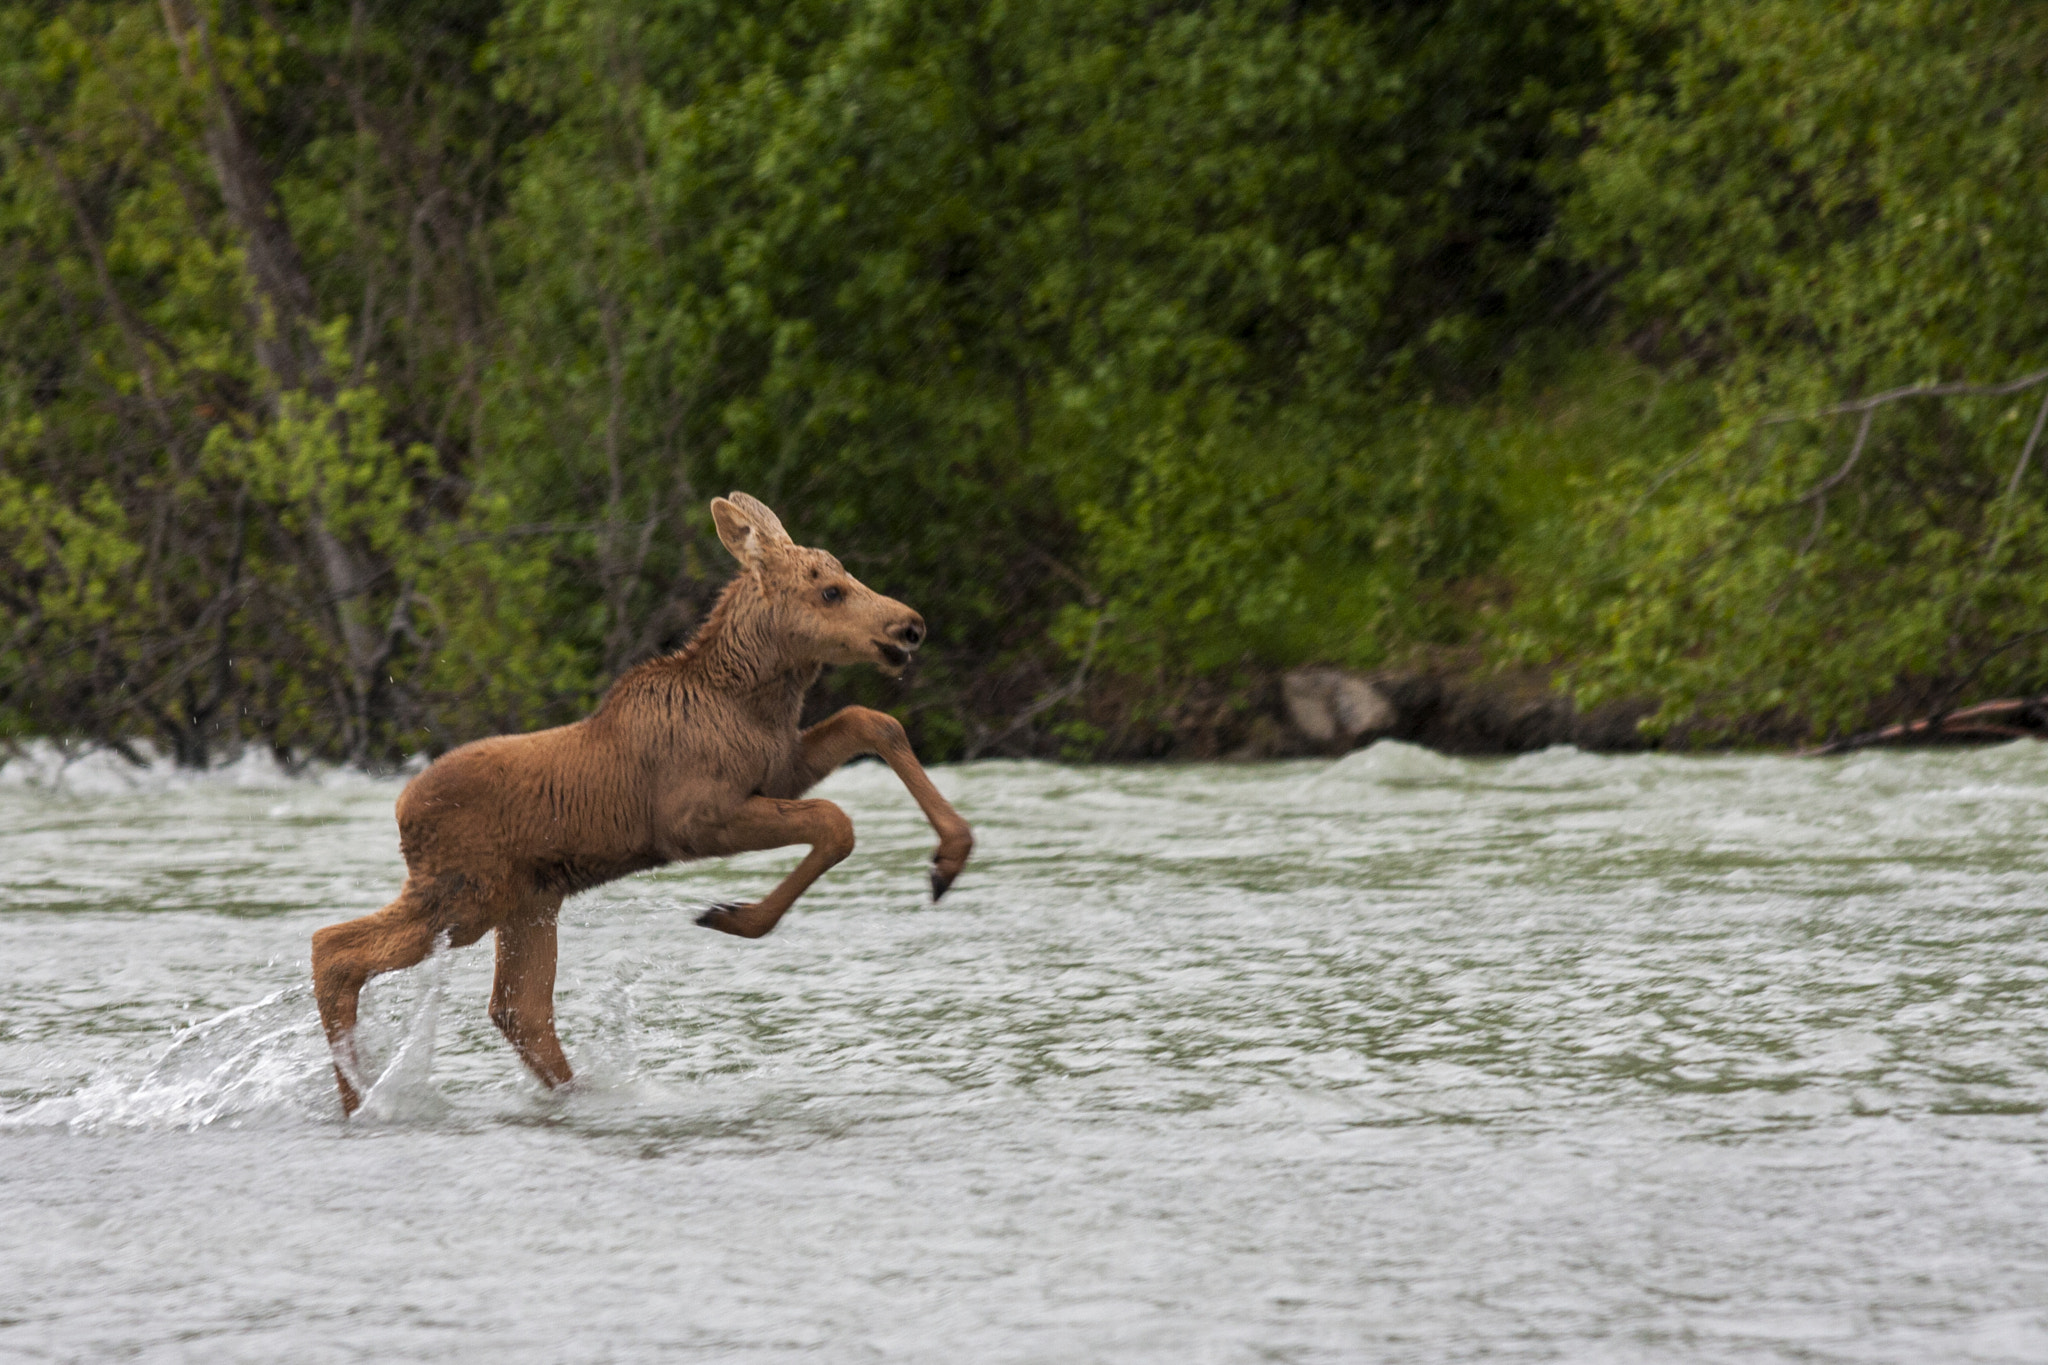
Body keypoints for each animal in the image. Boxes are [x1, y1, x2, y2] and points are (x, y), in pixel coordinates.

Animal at [310, 492, 974, 1115]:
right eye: (831, 591)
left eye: (846, 575)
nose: (910, 626)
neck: (755, 703)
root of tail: (400, 811)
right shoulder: (696, 819)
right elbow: (836, 822)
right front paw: (733, 916)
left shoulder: (780, 770)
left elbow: (874, 721)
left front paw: (951, 857)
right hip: (465, 893)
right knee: (335, 948)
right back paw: (361, 1100)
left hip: (528, 900)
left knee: (518, 1009)